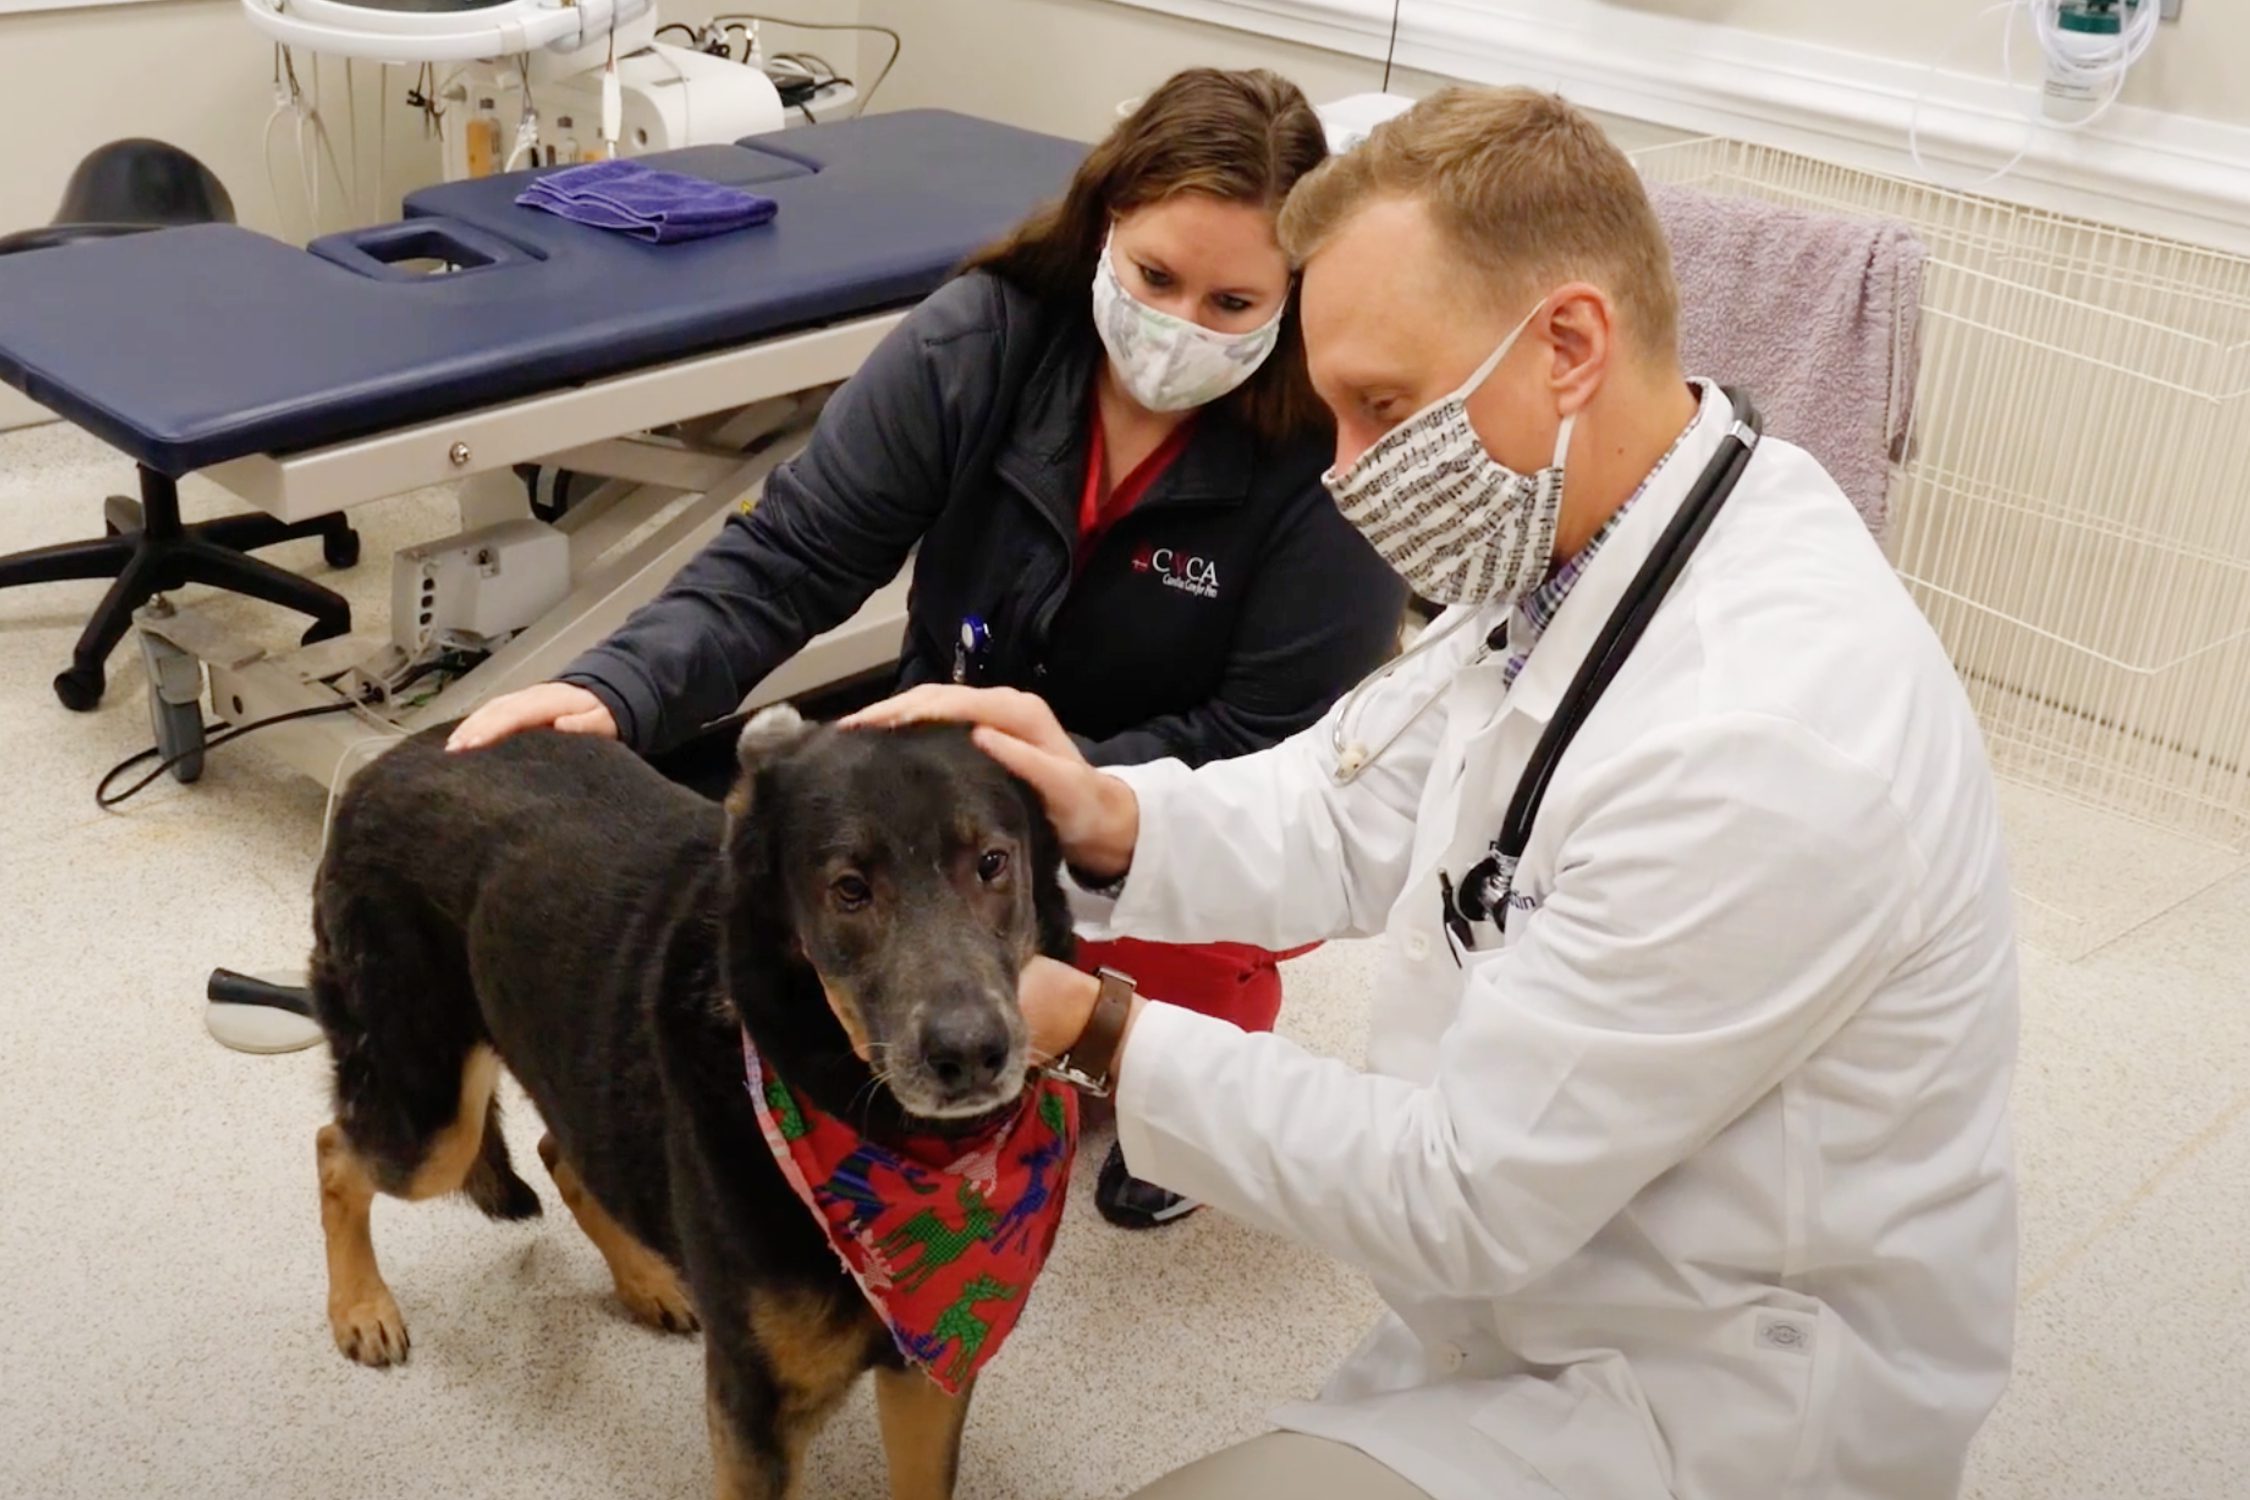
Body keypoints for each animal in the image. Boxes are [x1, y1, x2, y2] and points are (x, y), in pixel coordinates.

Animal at [306, 706, 1071, 1500]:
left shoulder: (927, 1380)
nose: (970, 1054)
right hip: (430, 1125)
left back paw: (647, 1279)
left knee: (559, 1150)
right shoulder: (757, 1412)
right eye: (850, 889)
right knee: (335, 1148)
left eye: (992, 863)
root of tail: (390, 755)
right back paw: (361, 1306)